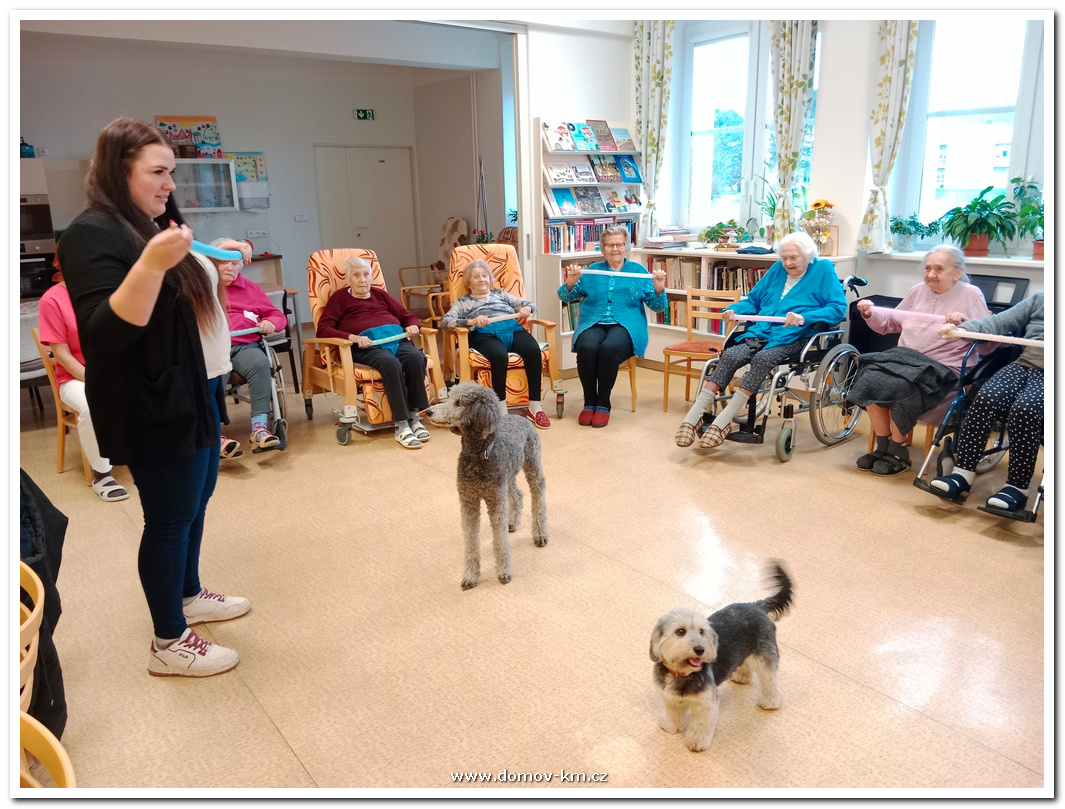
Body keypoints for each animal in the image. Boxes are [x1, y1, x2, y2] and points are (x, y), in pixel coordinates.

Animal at [425, 383, 549, 589]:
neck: (478, 456)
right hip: (507, 477)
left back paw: (540, 534)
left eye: (459, 402)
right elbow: (471, 543)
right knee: (518, 494)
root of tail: (519, 417)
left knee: (538, 496)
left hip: (532, 466)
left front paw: (504, 572)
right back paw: (513, 522)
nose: (428, 411)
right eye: (449, 397)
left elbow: (500, 541)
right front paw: (470, 575)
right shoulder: (468, 502)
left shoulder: (496, 502)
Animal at [649, 562, 792, 752]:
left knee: (771, 680)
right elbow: (673, 714)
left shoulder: (705, 704)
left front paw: (696, 742)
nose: (700, 649)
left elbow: (700, 726)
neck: (682, 673)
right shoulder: (669, 697)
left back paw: (771, 702)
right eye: (680, 631)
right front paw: (672, 726)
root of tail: (757, 605)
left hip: (765, 656)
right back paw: (741, 677)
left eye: (702, 631)